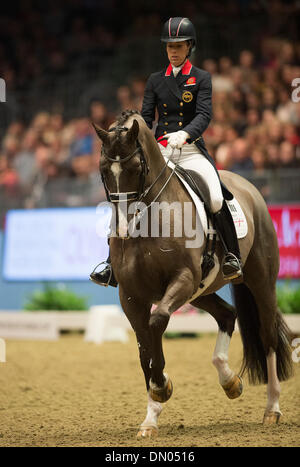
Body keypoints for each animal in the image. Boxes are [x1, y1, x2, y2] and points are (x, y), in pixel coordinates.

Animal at [93, 111, 292, 440]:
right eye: (103, 170)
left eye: (136, 168)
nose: (122, 228)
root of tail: (247, 187)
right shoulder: (130, 296)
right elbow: (144, 348)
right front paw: (151, 416)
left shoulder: (182, 278)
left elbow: (157, 322)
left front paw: (162, 388)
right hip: (201, 291)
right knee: (227, 314)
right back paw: (230, 381)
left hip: (261, 282)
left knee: (268, 338)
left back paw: (272, 409)